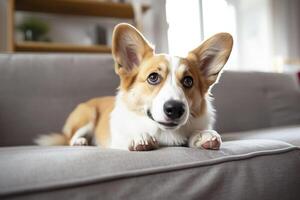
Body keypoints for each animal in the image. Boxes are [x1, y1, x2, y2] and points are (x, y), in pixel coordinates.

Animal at [34, 23, 232, 152]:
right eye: (153, 77)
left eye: (188, 81)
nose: (175, 109)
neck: (165, 133)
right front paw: (141, 136)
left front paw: (202, 135)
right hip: (87, 114)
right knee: (71, 137)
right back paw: (81, 142)